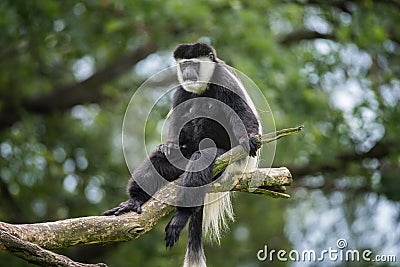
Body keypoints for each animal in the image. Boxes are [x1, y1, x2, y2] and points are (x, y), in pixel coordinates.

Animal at [104, 43, 260, 266]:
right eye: (184, 65)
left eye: (193, 64)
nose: (187, 73)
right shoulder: (181, 88)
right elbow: (178, 115)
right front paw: (169, 144)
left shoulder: (224, 80)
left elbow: (240, 111)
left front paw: (250, 138)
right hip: (180, 162)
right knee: (158, 160)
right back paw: (134, 201)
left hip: (224, 162)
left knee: (202, 154)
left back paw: (181, 215)